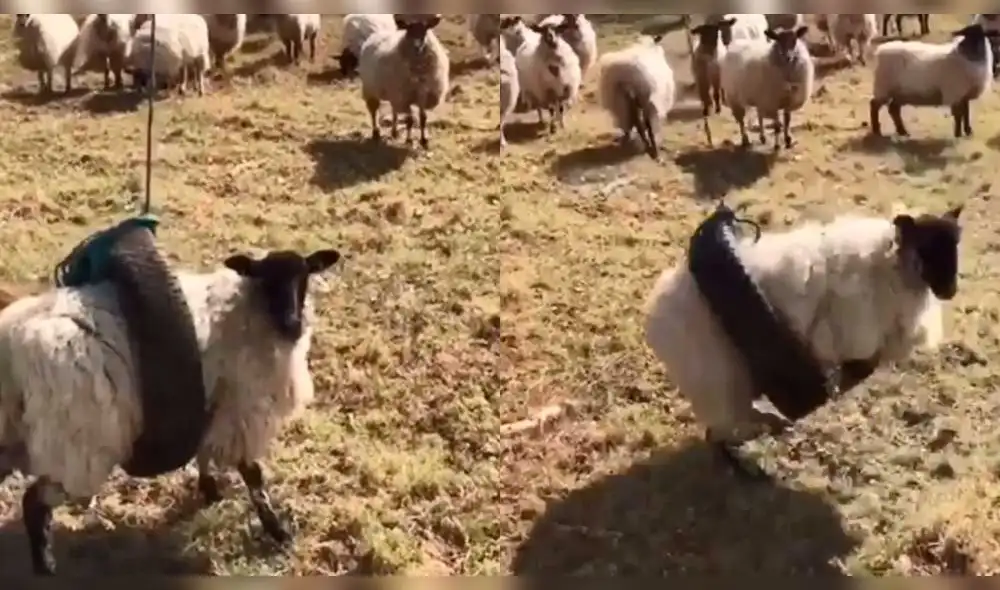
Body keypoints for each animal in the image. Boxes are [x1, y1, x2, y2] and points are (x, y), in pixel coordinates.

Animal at [0, 248, 341, 574]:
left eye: (304, 277)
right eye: (266, 280)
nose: (293, 324)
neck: (248, 311)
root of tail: (12, 345)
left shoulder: (211, 403)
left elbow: (205, 451)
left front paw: (209, 490)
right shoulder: (238, 410)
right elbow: (253, 475)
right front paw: (278, 531)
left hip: (17, 430)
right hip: (79, 442)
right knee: (34, 505)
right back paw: (45, 568)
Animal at [359, 15, 450, 149]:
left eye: (425, 31)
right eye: (408, 31)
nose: (417, 47)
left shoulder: (423, 94)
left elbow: (423, 118)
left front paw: (424, 140)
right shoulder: (404, 97)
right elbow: (410, 120)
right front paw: (409, 140)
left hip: (393, 93)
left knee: (394, 110)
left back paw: (394, 132)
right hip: (371, 88)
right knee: (373, 111)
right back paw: (376, 133)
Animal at [644, 205, 963, 479]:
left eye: (955, 247)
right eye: (925, 250)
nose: (950, 291)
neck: (889, 267)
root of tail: (656, 318)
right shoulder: (857, 342)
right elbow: (854, 372)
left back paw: (769, 429)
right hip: (719, 383)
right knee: (721, 432)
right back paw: (748, 463)